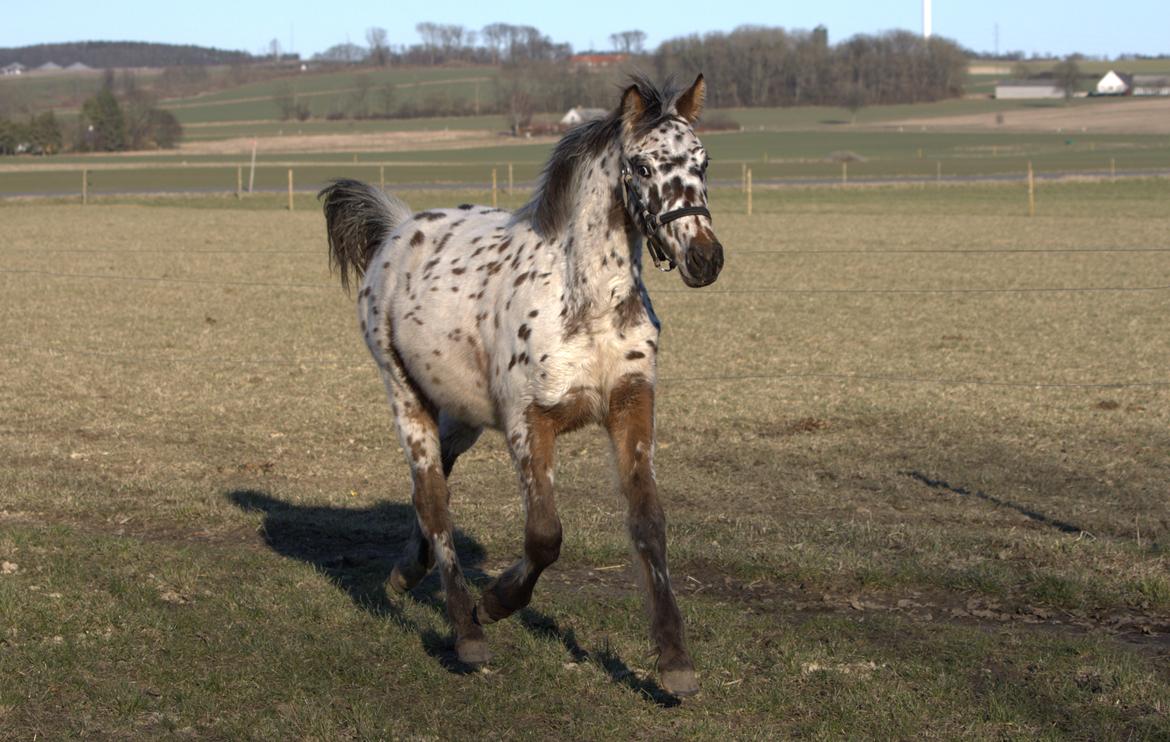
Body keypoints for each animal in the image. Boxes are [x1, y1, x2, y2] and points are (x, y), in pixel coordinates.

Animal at [320, 73, 720, 692]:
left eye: (703, 161)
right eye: (642, 166)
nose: (705, 257)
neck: (586, 304)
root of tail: (397, 230)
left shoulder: (632, 404)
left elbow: (648, 523)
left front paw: (675, 662)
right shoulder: (529, 422)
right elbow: (545, 535)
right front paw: (494, 602)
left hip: (459, 414)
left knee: (434, 488)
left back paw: (406, 573)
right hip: (406, 396)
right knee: (433, 498)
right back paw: (467, 632)